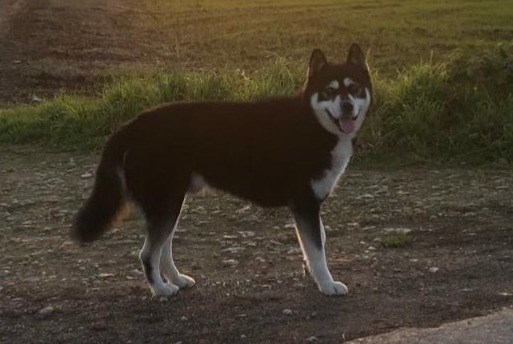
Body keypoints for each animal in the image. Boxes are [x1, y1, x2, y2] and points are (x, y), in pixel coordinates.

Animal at [72, 43, 372, 296]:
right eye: (329, 91)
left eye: (355, 88)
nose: (347, 106)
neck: (313, 124)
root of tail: (131, 126)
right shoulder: (305, 204)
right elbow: (318, 250)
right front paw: (327, 284)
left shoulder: (309, 207)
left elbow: (317, 242)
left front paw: (313, 274)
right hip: (165, 203)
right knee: (148, 254)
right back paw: (161, 289)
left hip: (170, 203)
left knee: (163, 250)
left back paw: (176, 280)